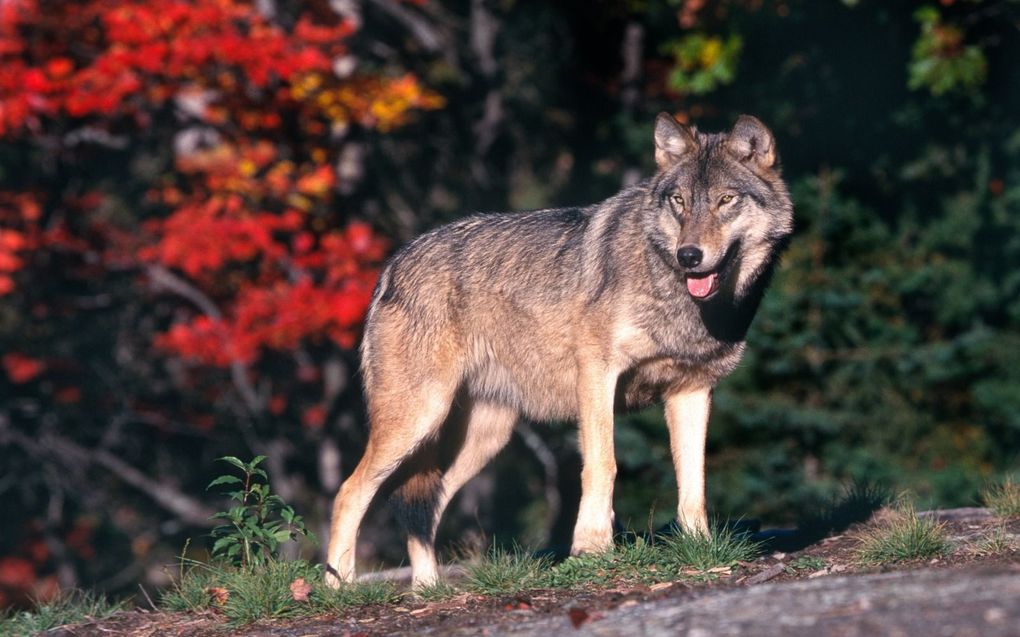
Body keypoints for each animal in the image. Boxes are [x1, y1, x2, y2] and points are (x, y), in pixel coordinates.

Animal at [326, 111, 795, 587]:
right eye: (679, 202)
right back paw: (336, 585)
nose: (689, 255)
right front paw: (592, 548)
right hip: (417, 419)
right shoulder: (598, 374)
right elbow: (603, 464)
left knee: (425, 505)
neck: (679, 296)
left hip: (483, 439)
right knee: (349, 492)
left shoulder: (692, 391)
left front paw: (700, 548)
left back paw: (426, 589)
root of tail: (392, 265)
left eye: (726, 200)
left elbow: (693, 479)